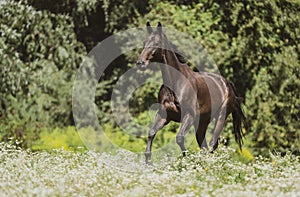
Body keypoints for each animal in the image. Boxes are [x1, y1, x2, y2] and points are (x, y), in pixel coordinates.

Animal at [137, 21, 245, 164]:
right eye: (145, 42)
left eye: (157, 43)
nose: (140, 62)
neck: (176, 83)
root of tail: (227, 85)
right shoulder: (164, 115)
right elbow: (151, 132)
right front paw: (148, 161)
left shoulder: (189, 115)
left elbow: (179, 138)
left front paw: (186, 160)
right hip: (202, 123)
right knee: (204, 145)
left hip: (221, 117)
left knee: (212, 143)